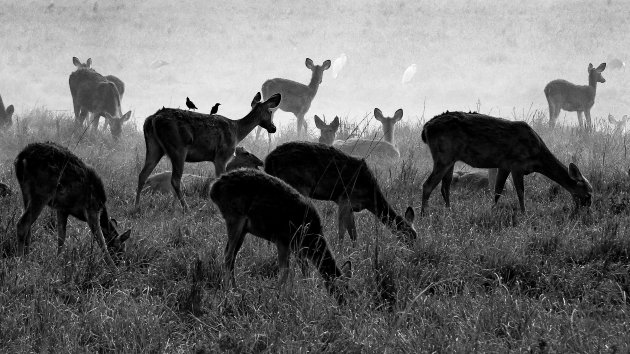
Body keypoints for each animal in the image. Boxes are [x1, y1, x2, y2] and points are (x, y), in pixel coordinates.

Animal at [136, 92, 282, 212]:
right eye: (270, 112)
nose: (273, 128)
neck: (237, 131)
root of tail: (153, 118)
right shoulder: (221, 156)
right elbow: (218, 180)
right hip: (178, 148)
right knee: (175, 179)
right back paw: (186, 208)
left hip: (154, 147)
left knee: (142, 175)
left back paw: (136, 206)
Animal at [210, 169, 354, 304]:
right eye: (339, 290)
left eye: (349, 289)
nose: (344, 304)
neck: (310, 238)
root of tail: (214, 188)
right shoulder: (282, 240)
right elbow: (285, 271)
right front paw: (277, 297)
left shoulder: (297, 248)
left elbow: (305, 270)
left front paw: (305, 292)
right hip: (234, 217)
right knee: (228, 255)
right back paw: (228, 291)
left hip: (243, 229)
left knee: (232, 255)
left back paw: (235, 289)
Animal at [264, 141, 418, 243]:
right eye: (408, 236)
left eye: (415, 235)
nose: (413, 250)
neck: (369, 197)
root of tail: (268, 160)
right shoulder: (344, 199)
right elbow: (343, 233)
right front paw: (341, 252)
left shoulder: (351, 206)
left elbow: (353, 233)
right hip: (298, 185)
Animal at [422, 112, 596, 214]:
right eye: (588, 195)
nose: (587, 212)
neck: (537, 157)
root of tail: (426, 129)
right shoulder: (516, 164)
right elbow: (521, 192)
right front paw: (524, 214)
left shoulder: (504, 165)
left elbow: (497, 191)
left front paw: (492, 211)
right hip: (443, 155)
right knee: (428, 185)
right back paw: (424, 215)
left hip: (450, 159)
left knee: (445, 187)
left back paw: (449, 212)